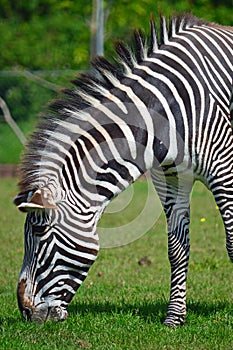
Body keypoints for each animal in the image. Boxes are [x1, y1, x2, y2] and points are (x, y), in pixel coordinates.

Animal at [14, 12, 233, 326]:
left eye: (39, 230)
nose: (25, 312)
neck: (164, 114)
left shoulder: (223, 171)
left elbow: (232, 243)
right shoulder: (169, 177)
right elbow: (177, 249)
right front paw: (174, 319)